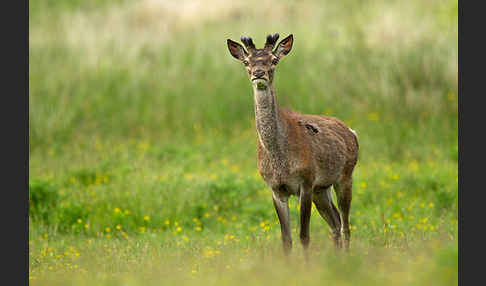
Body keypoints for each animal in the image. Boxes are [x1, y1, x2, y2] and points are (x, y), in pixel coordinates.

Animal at [226, 33, 358, 255]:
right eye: (246, 62)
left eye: (274, 60)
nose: (258, 73)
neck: (279, 160)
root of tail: (351, 131)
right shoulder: (276, 188)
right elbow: (286, 239)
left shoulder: (306, 181)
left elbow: (304, 235)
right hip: (322, 188)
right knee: (335, 222)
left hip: (345, 176)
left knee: (346, 224)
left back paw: (347, 256)